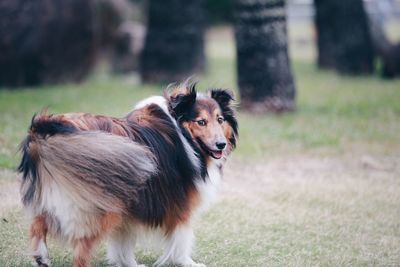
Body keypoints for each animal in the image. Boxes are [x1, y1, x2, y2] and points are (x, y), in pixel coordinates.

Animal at [18, 83, 238, 267]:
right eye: (201, 122)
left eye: (220, 120)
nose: (221, 144)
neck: (183, 134)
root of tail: (48, 127)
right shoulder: (181, 205)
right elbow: (181, 237)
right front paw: (187, 262)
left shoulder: (129, 206)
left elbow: (123, 239)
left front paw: (128, 263)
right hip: (99, 207)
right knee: (80, 253)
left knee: (38, 223)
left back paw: (41, 257)